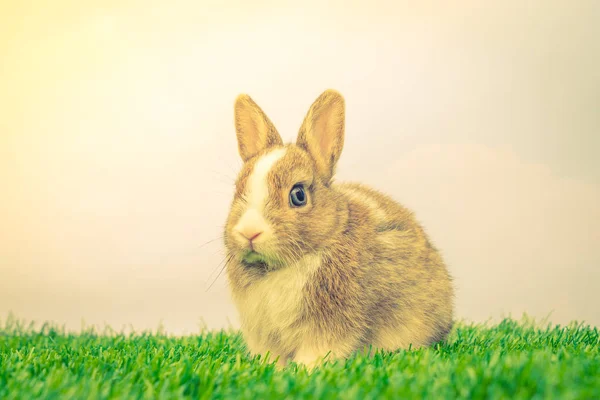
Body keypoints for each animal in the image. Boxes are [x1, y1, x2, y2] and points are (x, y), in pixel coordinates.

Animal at [223, 88, 452, 368]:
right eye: (238, 190)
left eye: (298, 195)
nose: (249, 232)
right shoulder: (263, 332)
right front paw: (270, 369)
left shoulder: (331, 324)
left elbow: (317, 351)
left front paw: (304, 370)